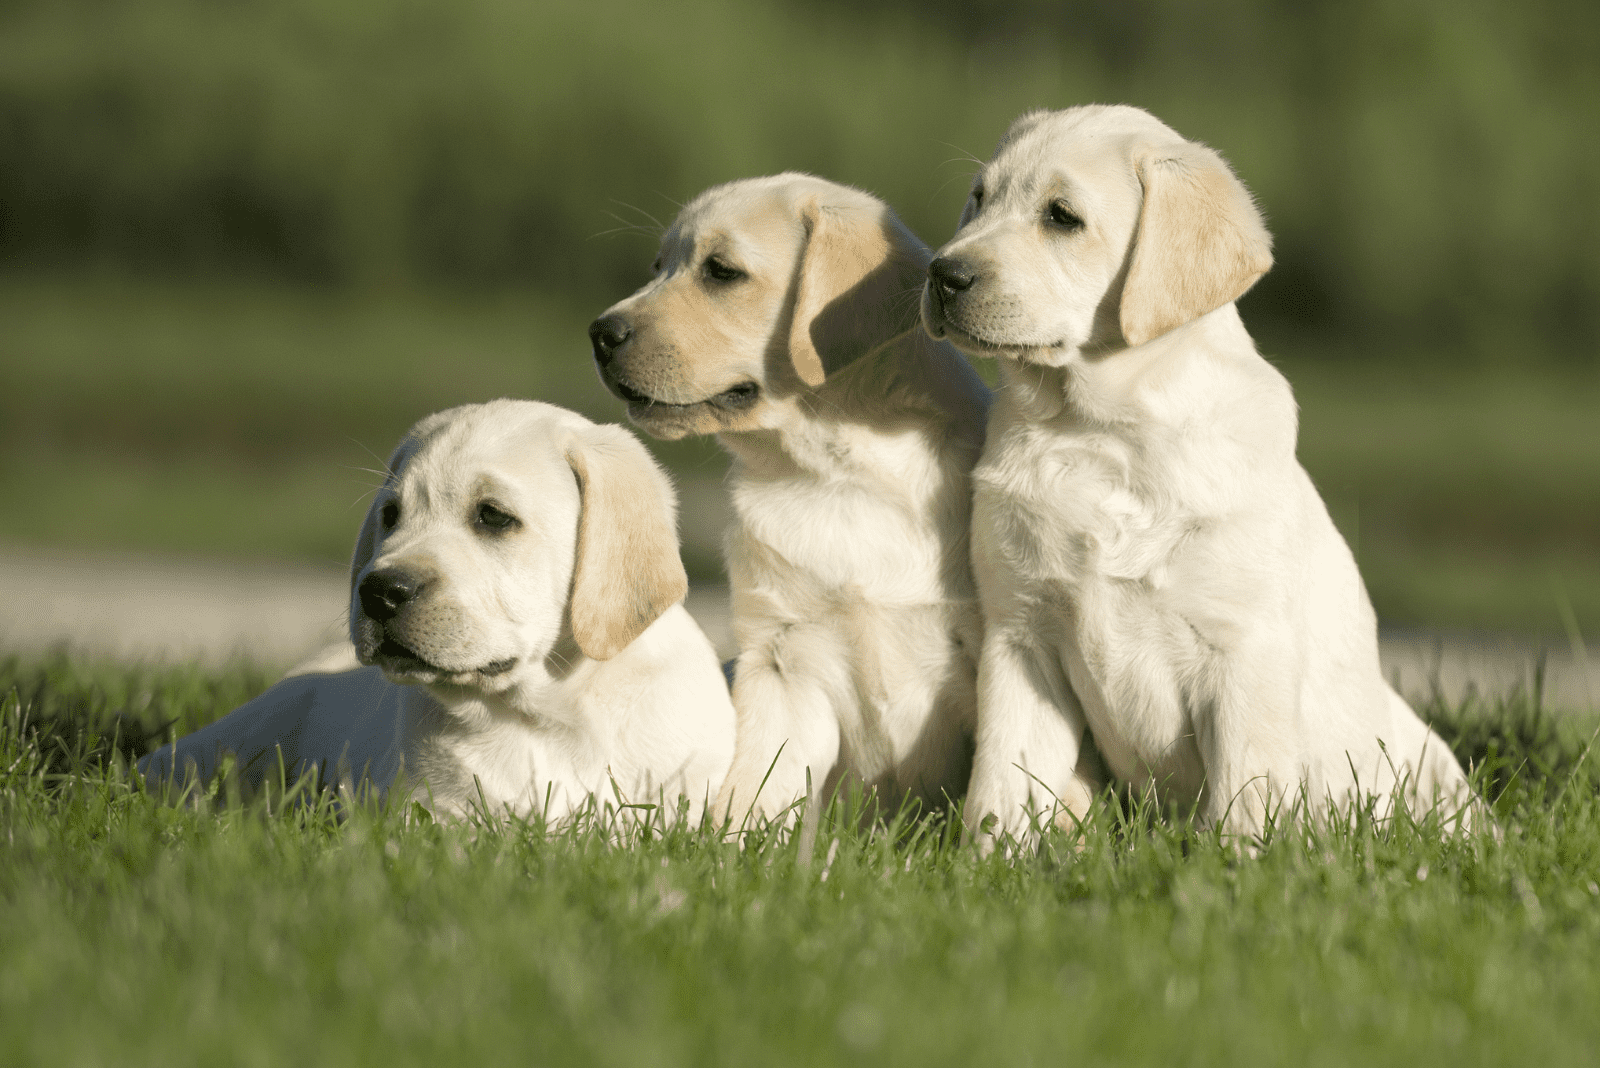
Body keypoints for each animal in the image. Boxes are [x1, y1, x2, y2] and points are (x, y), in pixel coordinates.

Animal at [139, 396, 736, 824]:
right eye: (391, 516)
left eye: (493, 516)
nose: (379, 591)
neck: (549, 711)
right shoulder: (433, 816)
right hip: (221, 747)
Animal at [588, 177, 985, 824]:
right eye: (658, 267)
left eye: (721, 272)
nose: (600, 333)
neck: (836, 471)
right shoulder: (782, 659)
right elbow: (756, 780)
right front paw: (725, 841)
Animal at [928, 103, 1472, 844]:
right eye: (979, 199)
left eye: (1062, 217)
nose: (942, 274)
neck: (1101, 432)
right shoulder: (1021, 634)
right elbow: (1003, 782)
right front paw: (993, 859)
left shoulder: (1240, 648)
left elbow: (1247, 787)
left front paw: (1242, 861)